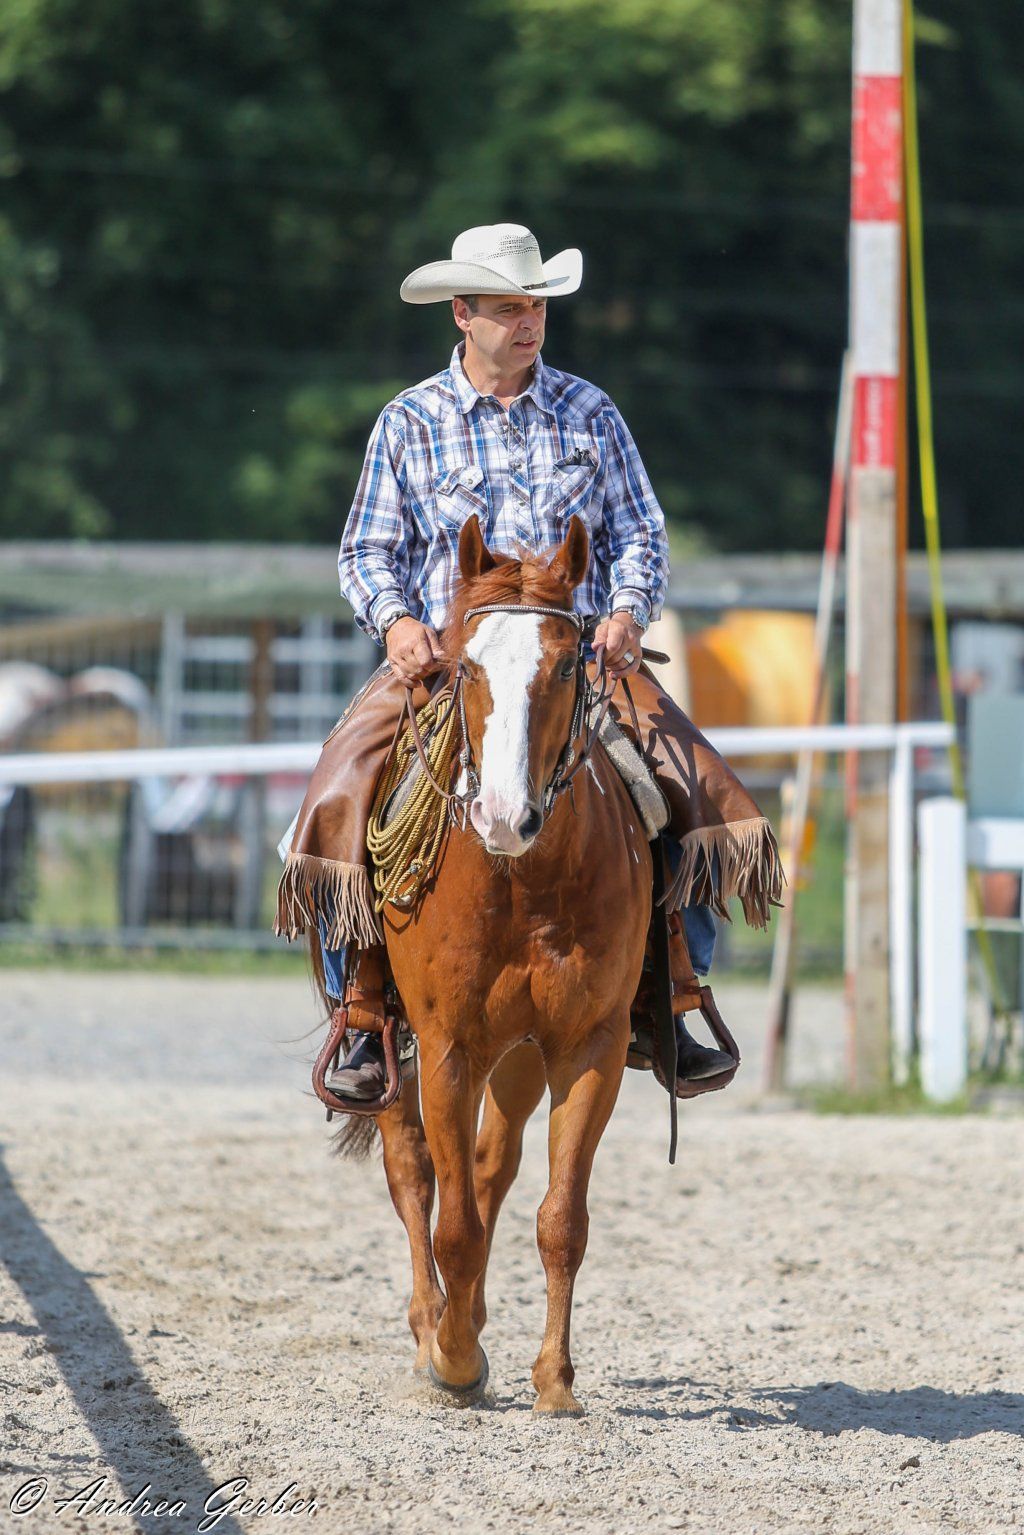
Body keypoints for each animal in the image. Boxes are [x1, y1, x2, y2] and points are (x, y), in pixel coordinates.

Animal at [320, 513, 652, 1414]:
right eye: (463, 665)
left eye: (569, 662)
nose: (507, 815)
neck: (522, 882)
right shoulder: (447, 1046)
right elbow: (454, 1223)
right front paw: (455, 1359)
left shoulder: (589, 1047)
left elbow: (560, 1218)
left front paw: (555, 1380)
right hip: (390, 1041)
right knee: (414, 1170)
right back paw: (429, 1327)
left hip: (521, 1056)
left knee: (489, 1168)